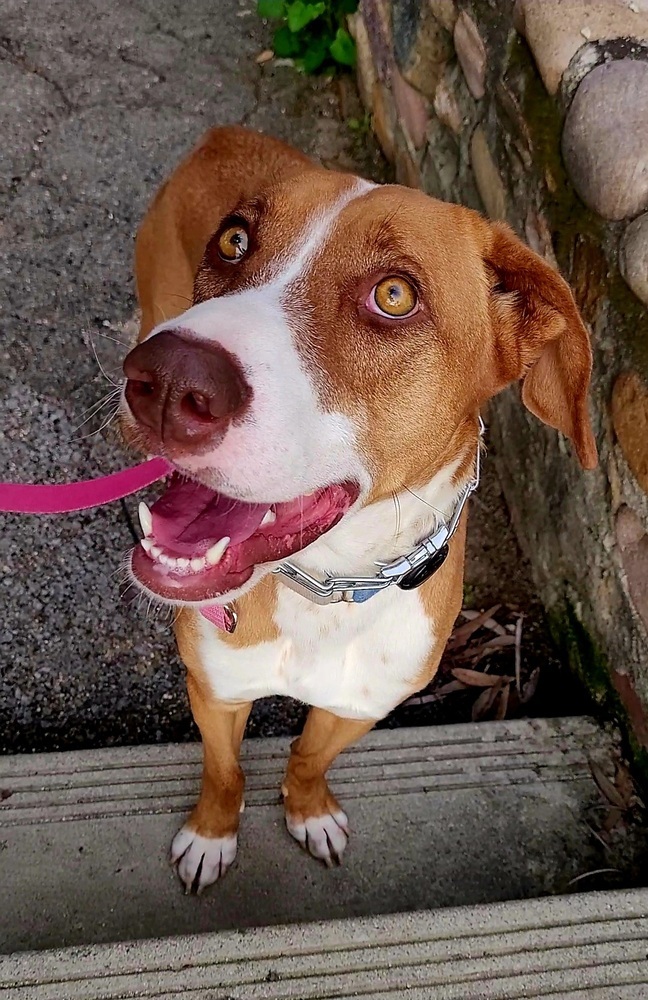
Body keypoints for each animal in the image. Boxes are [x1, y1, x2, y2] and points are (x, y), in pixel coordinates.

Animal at [120, 123, 596, 892]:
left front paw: (308, 810)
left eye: (395, 295)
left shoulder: (361, 706)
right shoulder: (216, 689)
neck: (326, 588)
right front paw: (211, 834)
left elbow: (308, 758)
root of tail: (229, 134)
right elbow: (224, 773)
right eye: (234, 240)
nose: (163, 380)